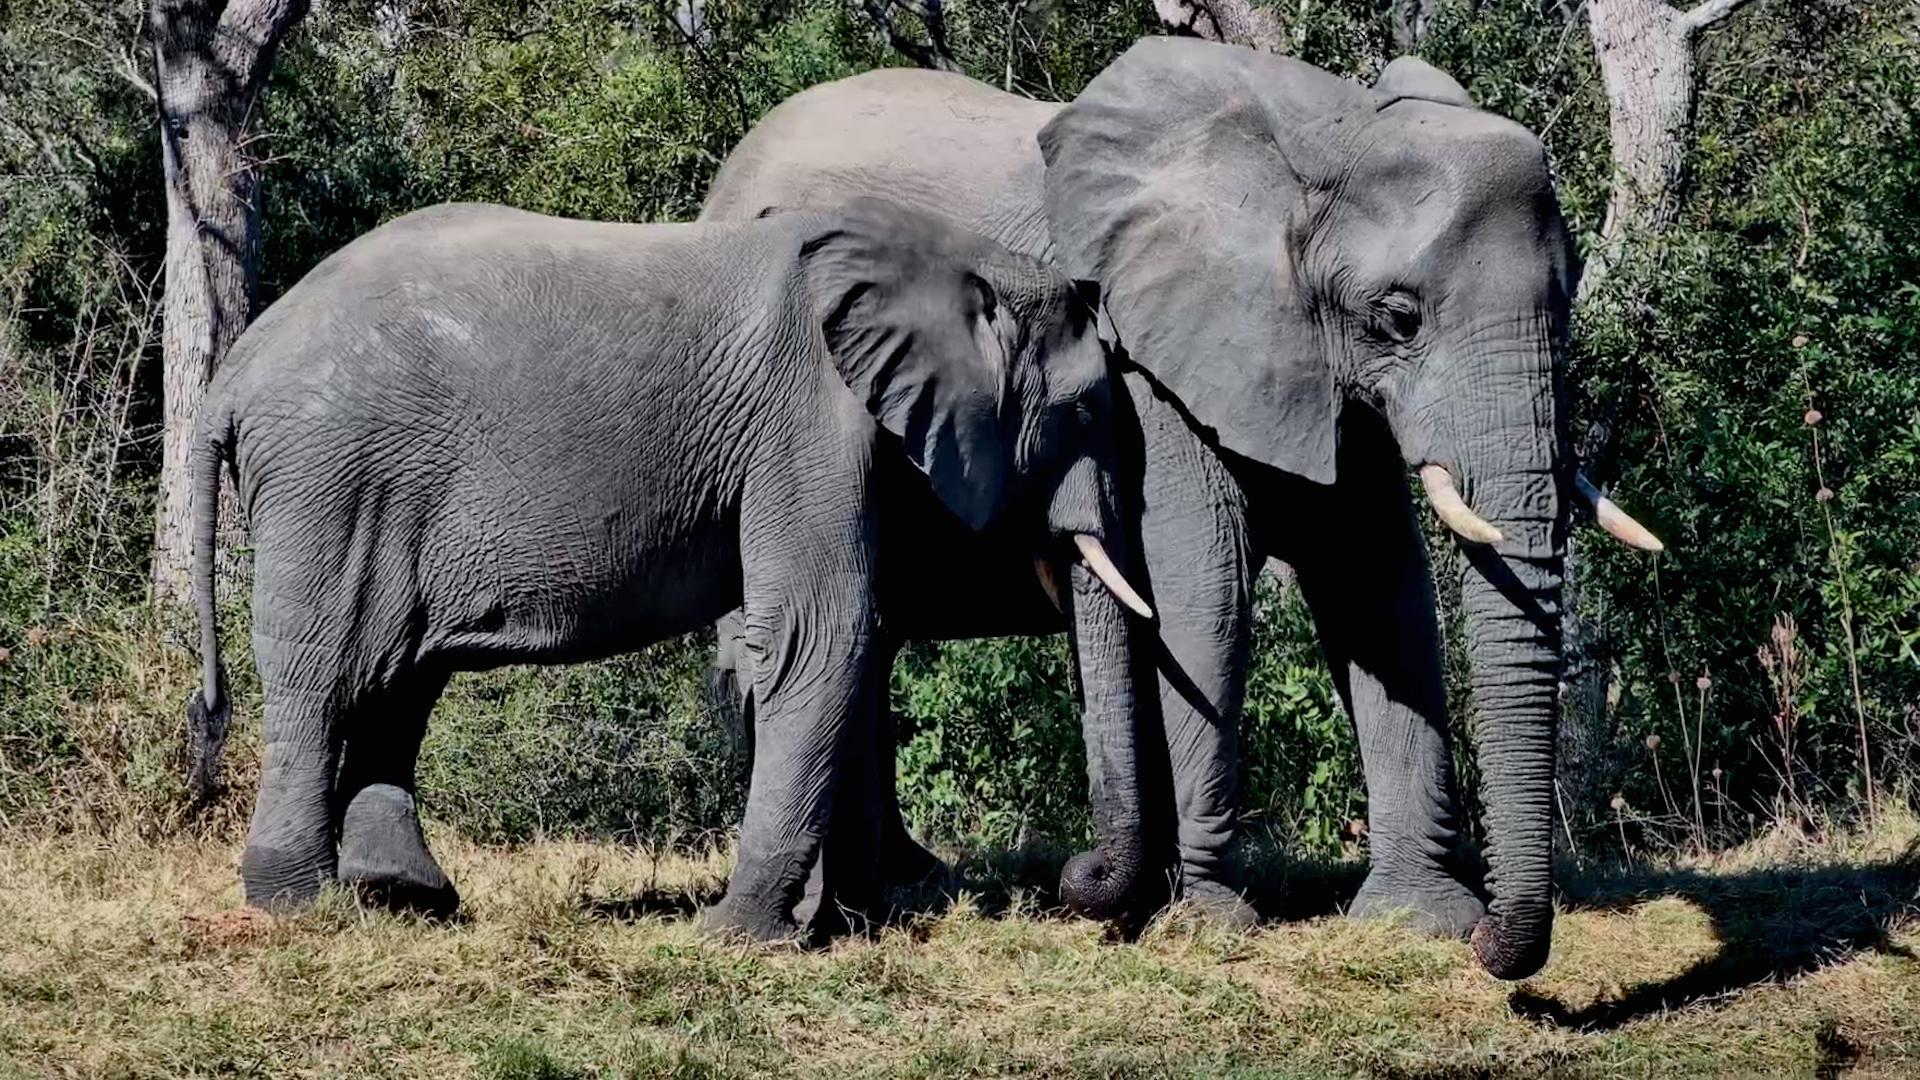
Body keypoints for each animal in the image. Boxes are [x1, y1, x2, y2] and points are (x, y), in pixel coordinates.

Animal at [181, 196, 1162, 941]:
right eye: (1085, 412)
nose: (1074, 881)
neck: (942, 255)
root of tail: (231, 379)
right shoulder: (811, 413)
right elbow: (821, 633)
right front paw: (741, 938)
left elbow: (851, 635)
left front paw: (840, 922)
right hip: (333, 479)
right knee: (327, 671)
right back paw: (300, 907)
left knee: (399, 675)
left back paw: (410, 901)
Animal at [698, 39, 1662, 977]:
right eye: (1398, 318)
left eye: (1569, 295)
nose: (1495, 948)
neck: (1323, 144)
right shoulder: (1151, 369)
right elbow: (1207, 592)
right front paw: (1210, 920)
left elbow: (1381, 591)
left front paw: (1419, 923)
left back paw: (908, 886)